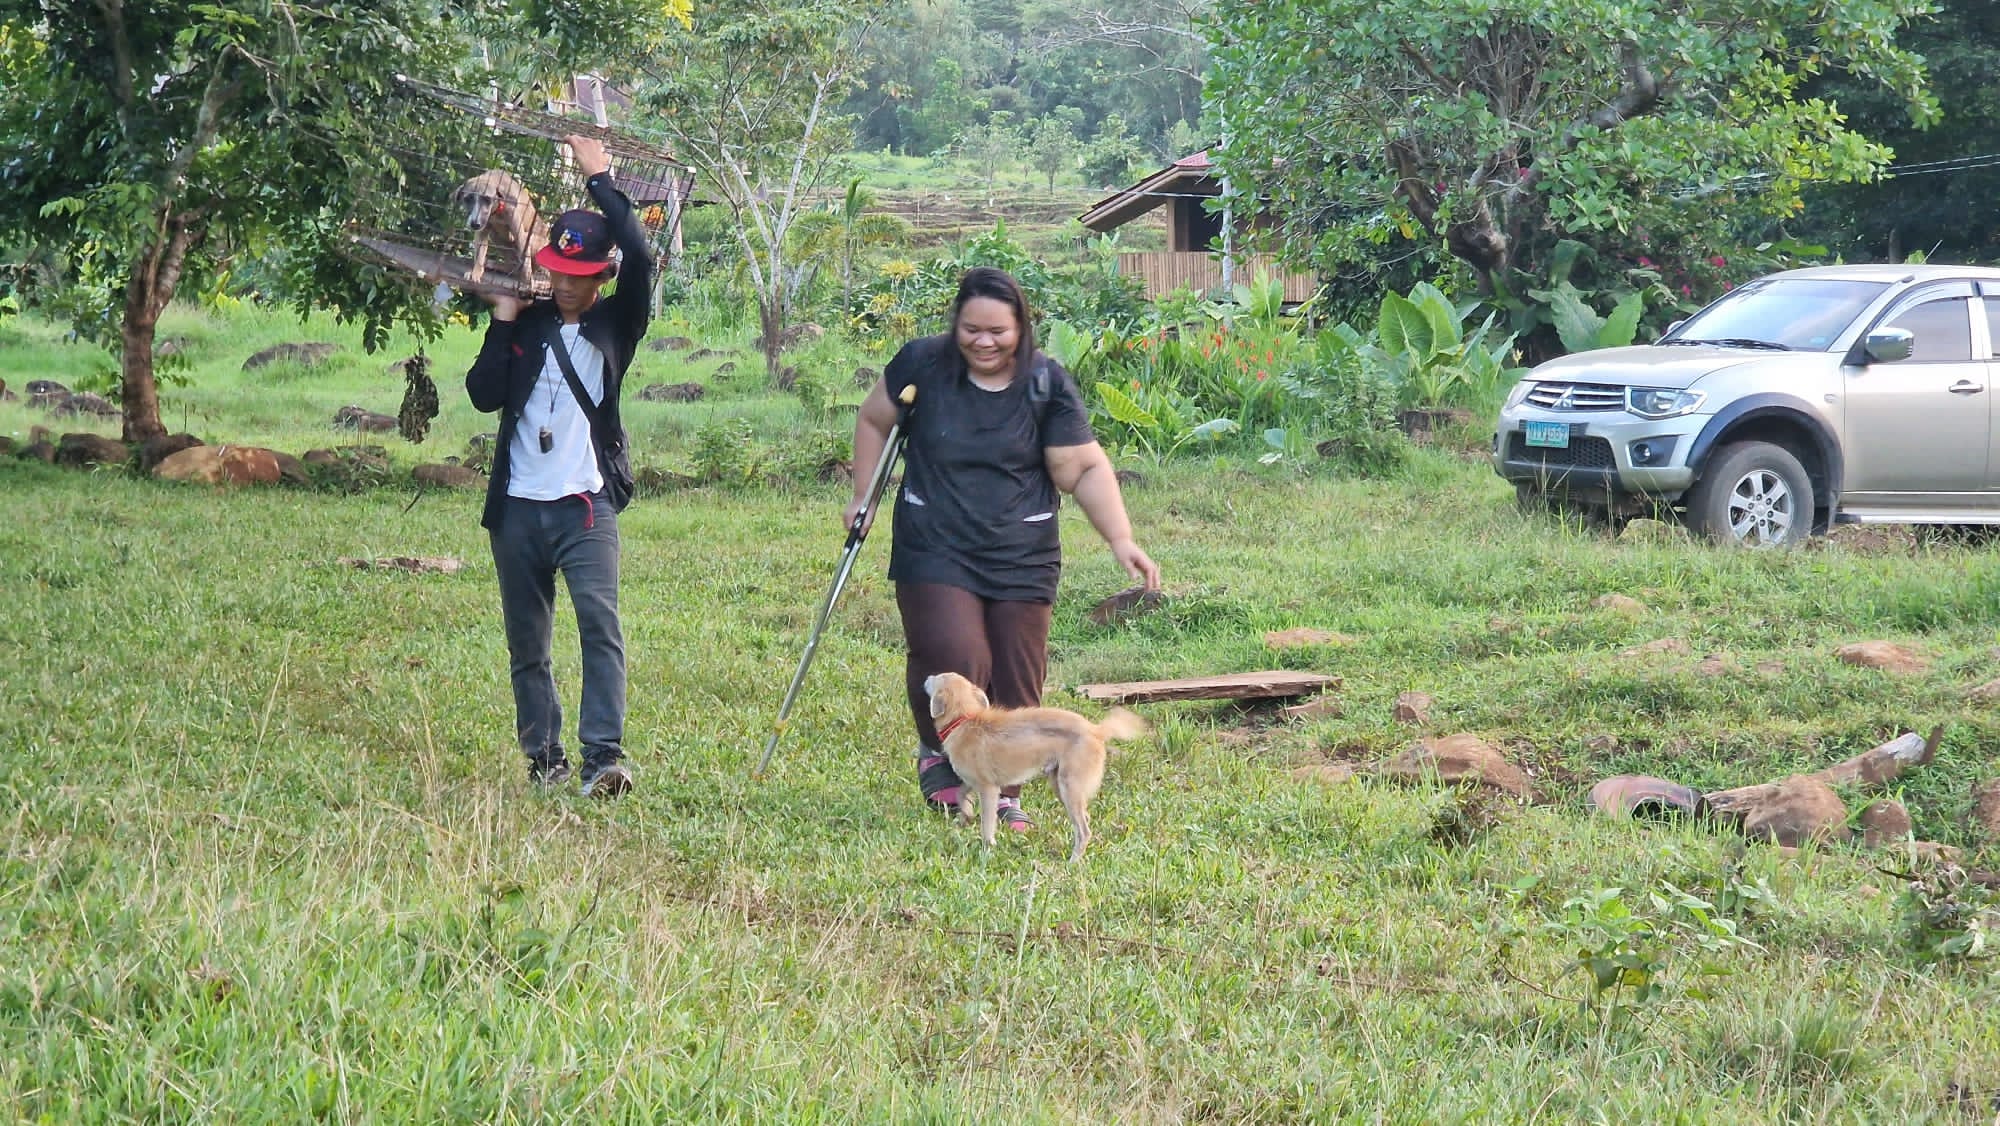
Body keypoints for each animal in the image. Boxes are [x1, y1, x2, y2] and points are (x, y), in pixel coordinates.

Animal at [923, 672, 1147, 861]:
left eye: (937, 677)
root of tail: (1095, 730)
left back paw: (1073, 861)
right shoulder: (972, 782)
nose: (926, 676)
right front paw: (965, 815)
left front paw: (987, 849)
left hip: (1069, 787)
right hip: (1061, 785)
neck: (964, 720)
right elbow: (961, 793)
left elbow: (987, 824)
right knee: (1085, 818)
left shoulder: (989, 789)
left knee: (1084, 830)